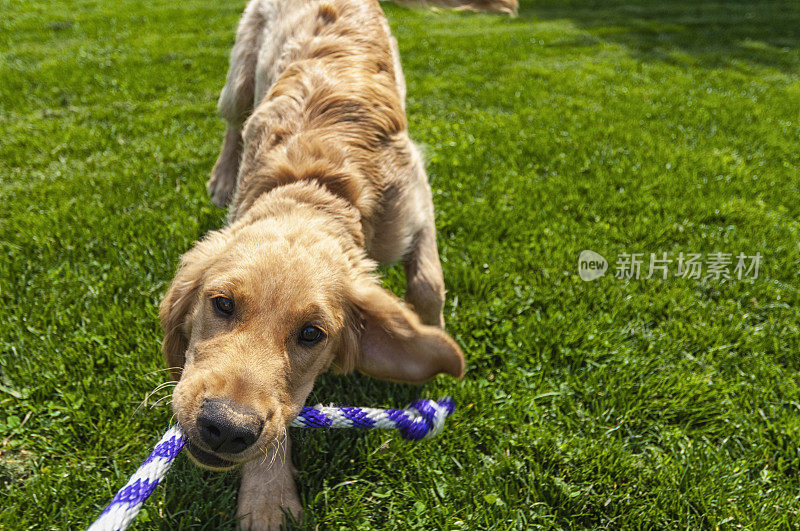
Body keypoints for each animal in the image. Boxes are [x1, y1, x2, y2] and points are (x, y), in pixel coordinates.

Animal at [159, 0, 516, 528]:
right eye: (221, 304)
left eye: (312, 334)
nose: (224, 428)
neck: (318, 184)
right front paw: (267, 494)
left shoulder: (416, 206)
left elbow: (428, 283)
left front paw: (431, 350)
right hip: (239, 75)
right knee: (231, 120)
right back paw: (223, 175)